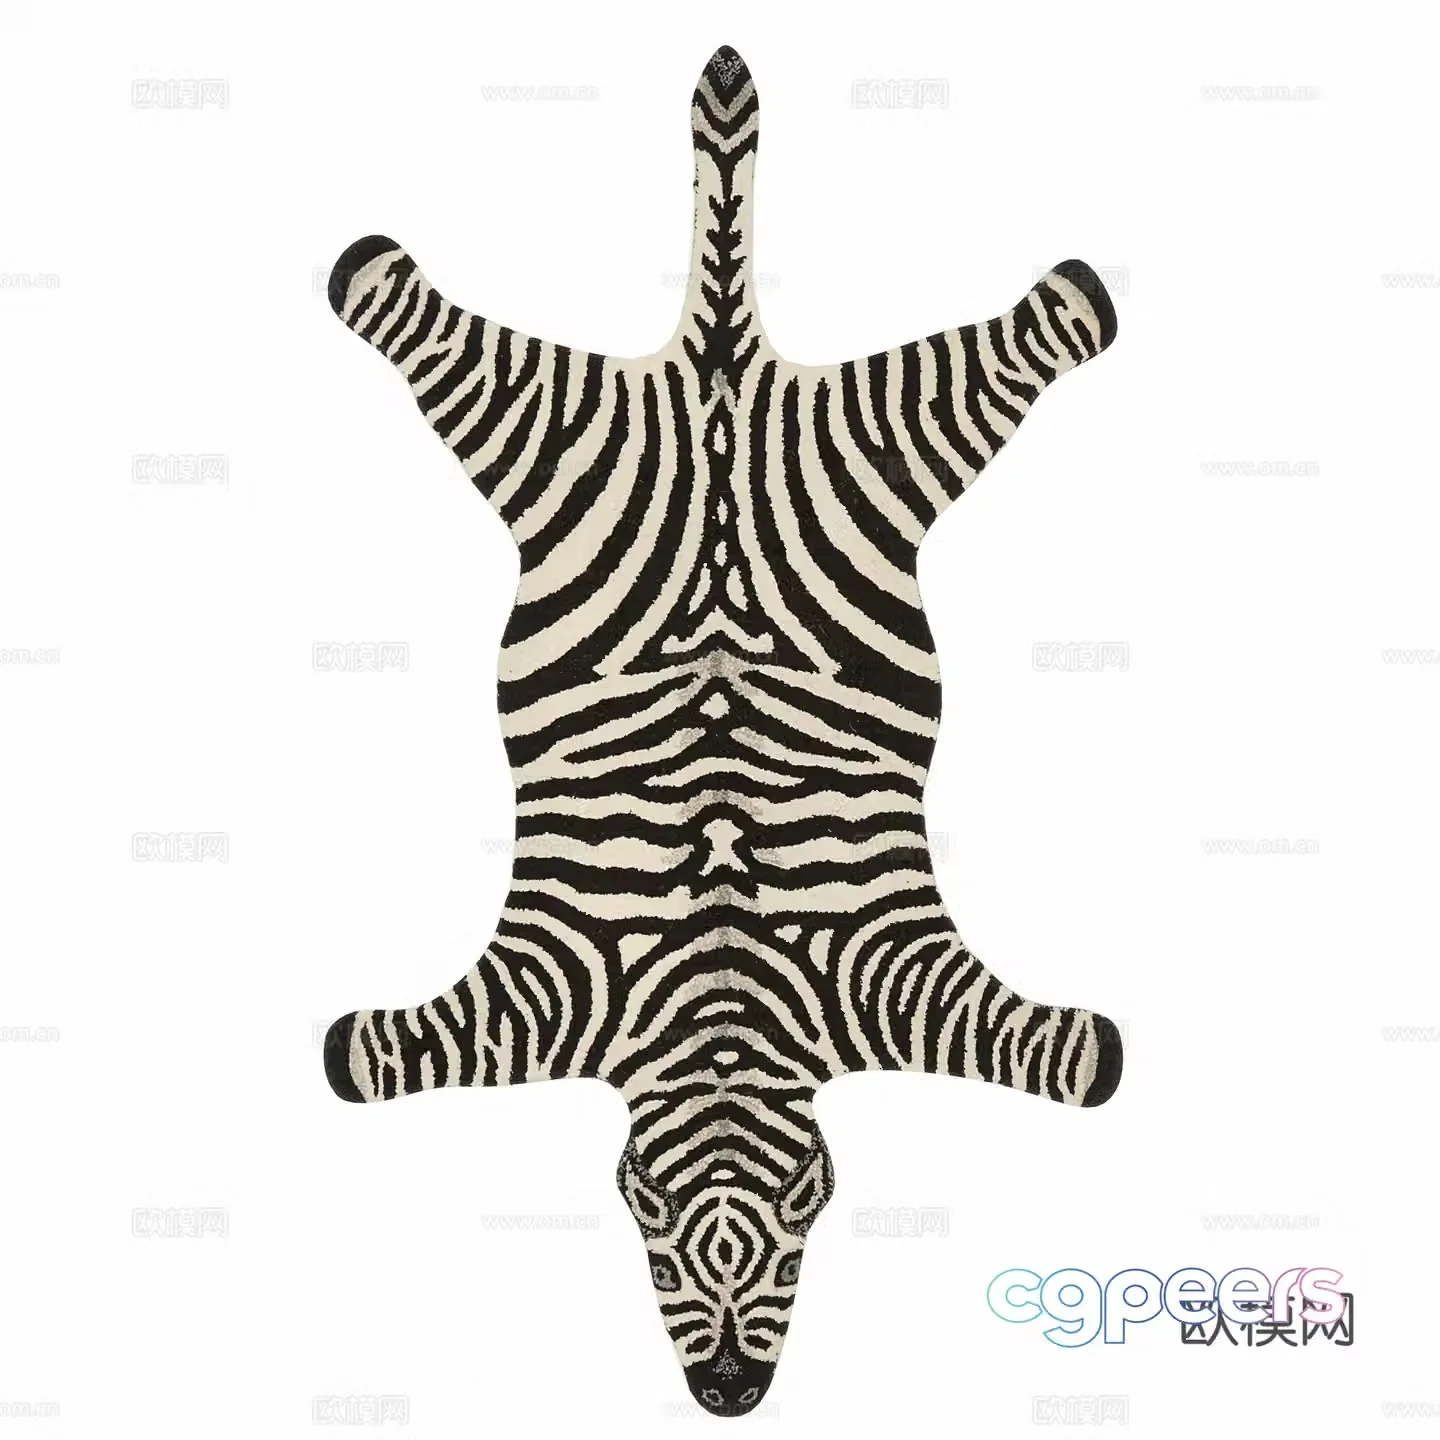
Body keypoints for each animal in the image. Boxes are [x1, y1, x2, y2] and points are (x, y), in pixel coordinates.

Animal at [323, 44, 1121, 1418]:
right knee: (416, 314)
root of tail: (721, 368)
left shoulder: (890, 978)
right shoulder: (546, 990)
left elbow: (1064, 1054)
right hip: (597, 428)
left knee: (1026, 335)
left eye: (805, 1240)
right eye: (653, 1252)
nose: (734, 1399)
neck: (723, 1007)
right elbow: (376, 1054)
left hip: (852, 439)